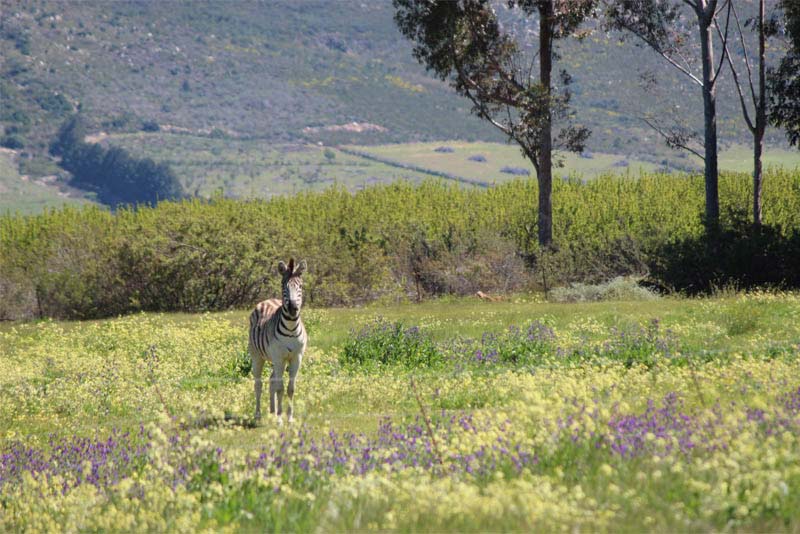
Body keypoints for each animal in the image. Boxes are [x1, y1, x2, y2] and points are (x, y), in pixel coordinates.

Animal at [250, 258, 310, 426]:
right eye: (284, 286)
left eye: (300, 286)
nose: (293, 308)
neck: (290, 328)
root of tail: (267, 300)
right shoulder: (278, 358)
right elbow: (280, 389)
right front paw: (279, 419)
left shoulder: (296, 358)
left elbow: (290, 389)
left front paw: (289, 418)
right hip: (257, 356)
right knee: (258, 384)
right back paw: (258, 415)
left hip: (277, 361)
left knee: (271, 380)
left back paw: (271, 411)